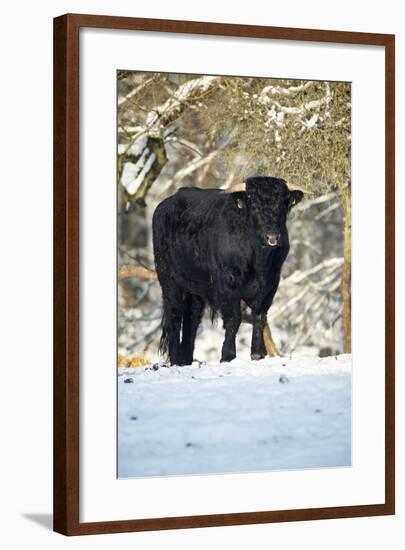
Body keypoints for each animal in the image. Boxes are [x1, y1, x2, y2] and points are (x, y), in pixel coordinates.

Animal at [152, 177, 304, 366]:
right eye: (254, 204)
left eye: (283, 204)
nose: (272, 237)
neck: (259, 261)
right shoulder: (227, 284)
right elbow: (233, 319)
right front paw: (228, 355)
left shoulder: (270, 285)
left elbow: (260, 317)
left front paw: (258, 353)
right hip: (170, 281)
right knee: (174, 316)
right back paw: (176, 361)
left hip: (195, 289)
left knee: (191, 319)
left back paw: (186, 359)